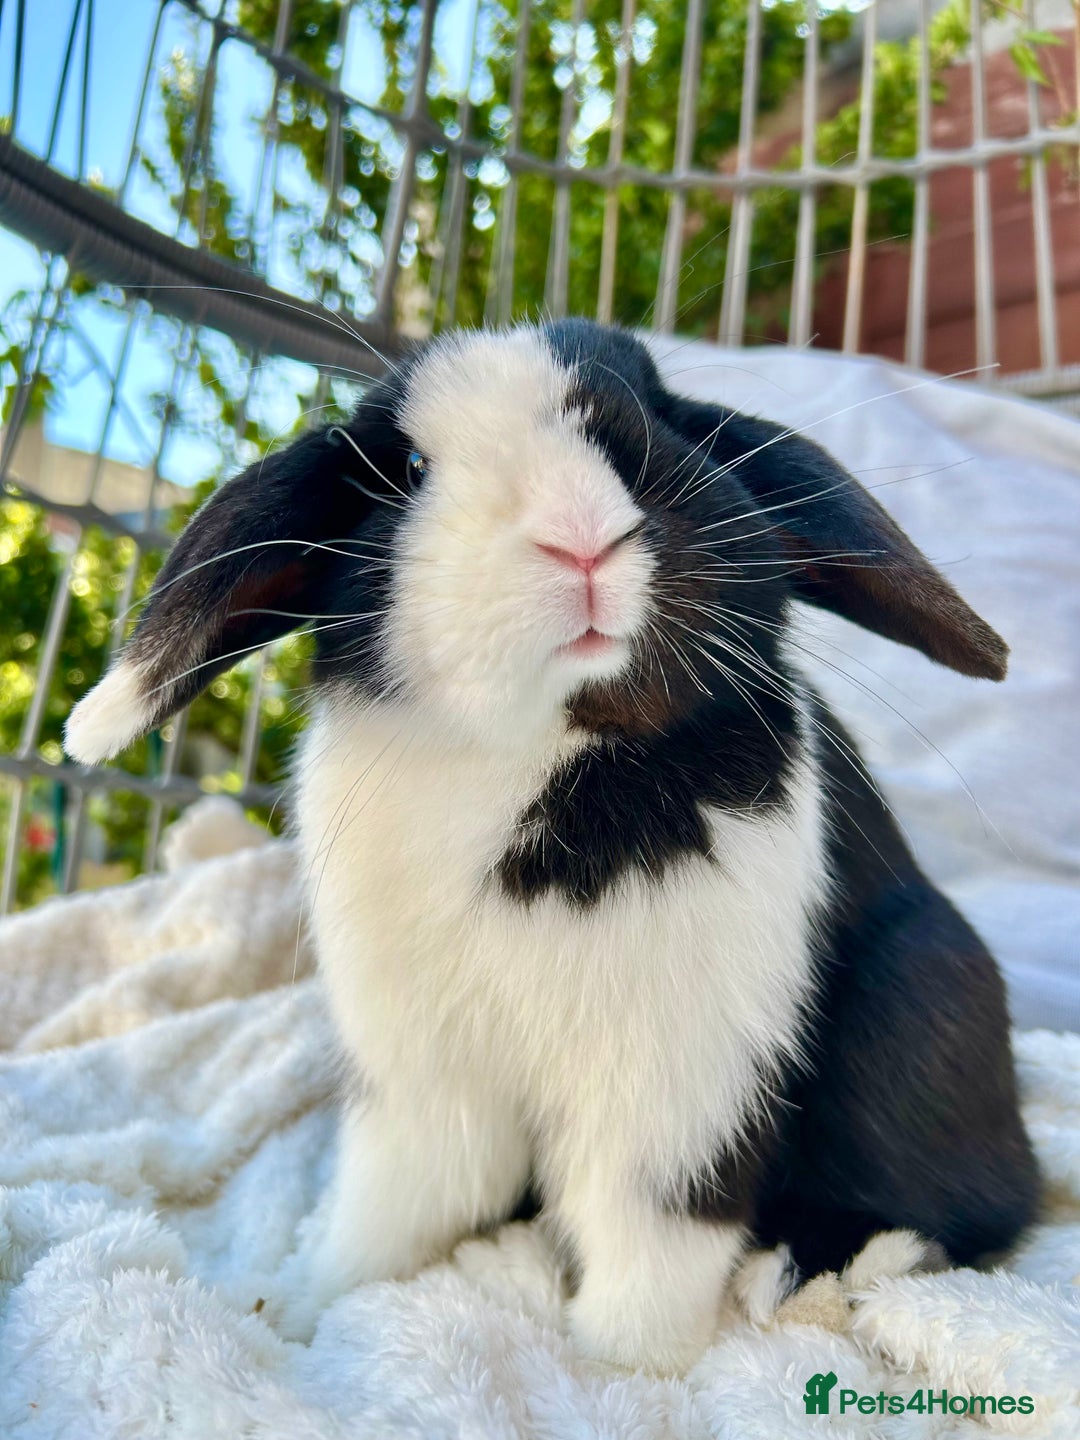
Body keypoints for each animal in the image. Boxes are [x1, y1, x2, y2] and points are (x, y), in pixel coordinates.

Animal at [65, 318, 1039, 1374]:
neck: (533, 755)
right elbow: (395, 1206)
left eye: (658, 416)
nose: (579, 531)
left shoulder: (678, 1097)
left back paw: (817, 1268)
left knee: (981, 1201)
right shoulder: (421, 1080)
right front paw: (296, 1306)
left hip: (924, 998)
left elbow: (649, 1242)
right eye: (409, 467)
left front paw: (620, 1369)